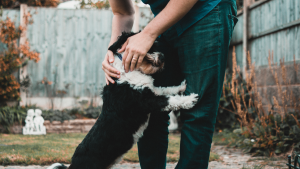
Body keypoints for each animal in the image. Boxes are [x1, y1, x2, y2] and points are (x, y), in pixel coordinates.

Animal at [47, 32, 199, 169]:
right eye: (149, 46)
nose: (163, 56)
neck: (127, 70)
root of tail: (72, 165)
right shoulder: (146, 100)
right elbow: (170, 99)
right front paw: (191, 99)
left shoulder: (152, 91)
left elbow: (167, 90)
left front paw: (182, 86)